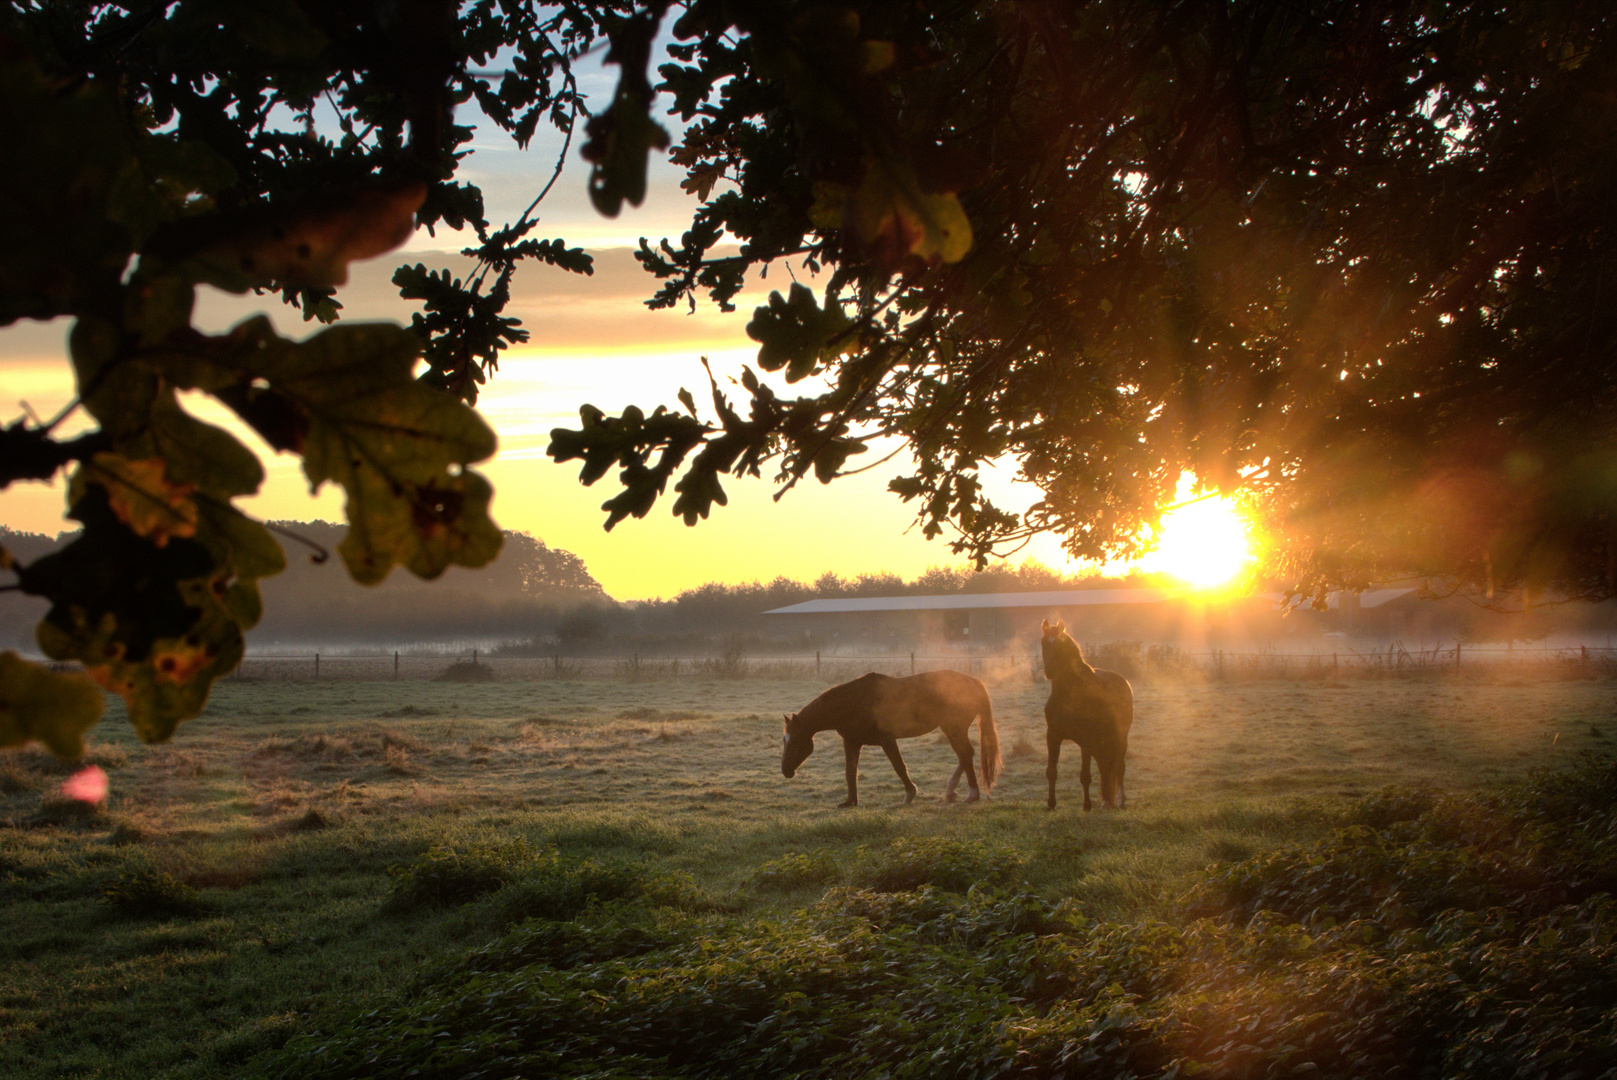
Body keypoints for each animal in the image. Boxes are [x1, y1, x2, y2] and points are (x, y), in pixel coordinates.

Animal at [779, 669, 996, 805]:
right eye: (784, 740)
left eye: (795, 740)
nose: (785, 771)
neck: (854, 702)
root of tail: (974, 682)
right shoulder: (852, 742)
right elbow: (850, 772)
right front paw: (850, 802)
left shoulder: (887, 740)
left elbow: (899, 766)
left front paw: (910, 794)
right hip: (951, 729)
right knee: (965, 755)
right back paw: (952, 791)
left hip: (954, 728)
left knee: (965, 754)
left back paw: (971, 795)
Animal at [1041, 614, 1131, 808]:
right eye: (1043, 642)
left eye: (1059, 644)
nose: (1049, 672)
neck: (1068, 694)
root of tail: (1124, 681)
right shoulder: (1053, 735)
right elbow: (1051, 771)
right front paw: (1051, 804)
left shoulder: (1086, 739)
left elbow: (1085, 775)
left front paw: (1087, 806)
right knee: (1105, 766)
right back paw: (1105, 802)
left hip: (1119, 736)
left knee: (1119, 766)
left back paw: (1120, 800)